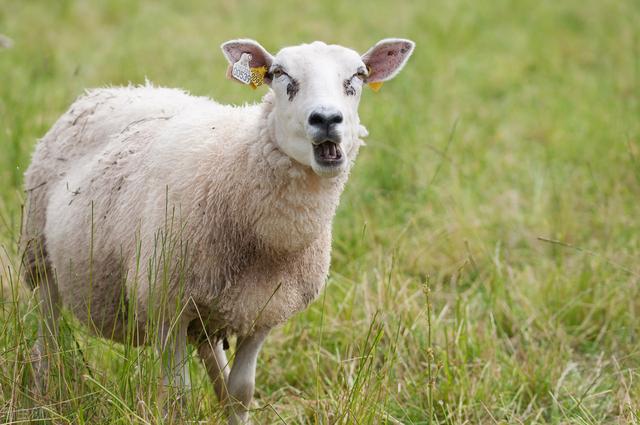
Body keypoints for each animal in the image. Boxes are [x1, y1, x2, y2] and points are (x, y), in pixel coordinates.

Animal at [21, 38, 416, 422]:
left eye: (358, 76)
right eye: (279, 74)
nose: (327, 119)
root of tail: (108, 91)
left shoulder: (262, 312)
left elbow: (240, 393)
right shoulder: (164, 305)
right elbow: (177, 397)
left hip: (213, 305)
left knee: (214, 363)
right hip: (40, 258)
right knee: (47, 338)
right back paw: (42, 399)